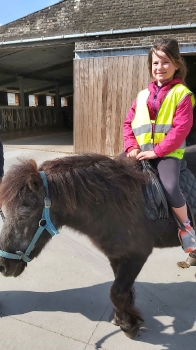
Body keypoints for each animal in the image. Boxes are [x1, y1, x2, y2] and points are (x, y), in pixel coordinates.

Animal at [0, 146, 195, 338]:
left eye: (24, 215)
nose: (3, 266)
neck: (117, 203)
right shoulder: (116, 255)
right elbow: (121, 290)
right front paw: (126, 317)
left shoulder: (136, 255)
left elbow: (116, 292)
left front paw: (127, 324)